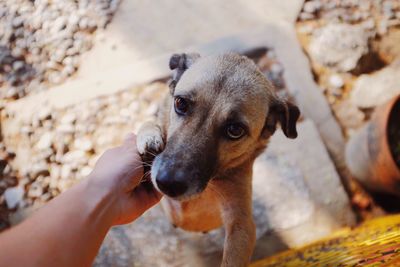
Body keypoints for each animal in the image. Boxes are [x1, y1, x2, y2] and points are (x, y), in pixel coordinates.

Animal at [136, 52, 298, 267]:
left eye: (235, 130)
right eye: (180, 103)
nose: (168, 183)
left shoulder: (240, 221)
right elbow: (148, 123)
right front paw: (149, 136)